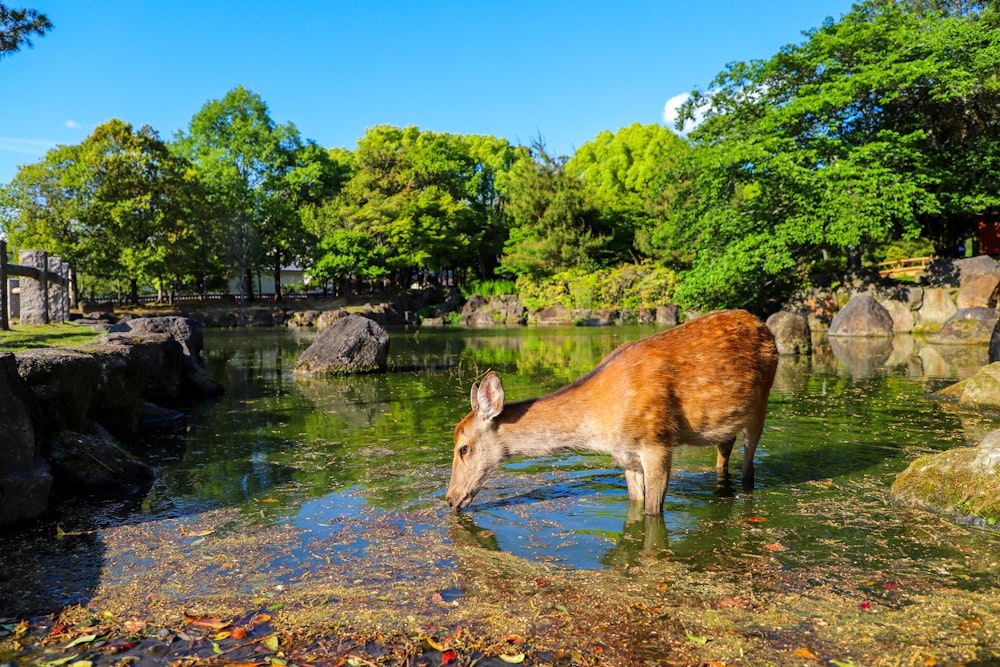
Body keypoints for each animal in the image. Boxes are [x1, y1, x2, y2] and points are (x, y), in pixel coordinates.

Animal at [446, 310, 780, 516]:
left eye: (463, 448)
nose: (449, 498)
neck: (597, 426)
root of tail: (765, 326)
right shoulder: (625, 456)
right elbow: (635, 505)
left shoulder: (657, 442)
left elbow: (653, 513)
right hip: (723, 424)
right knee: (725, 450)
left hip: (762, 401)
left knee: (749, 462)